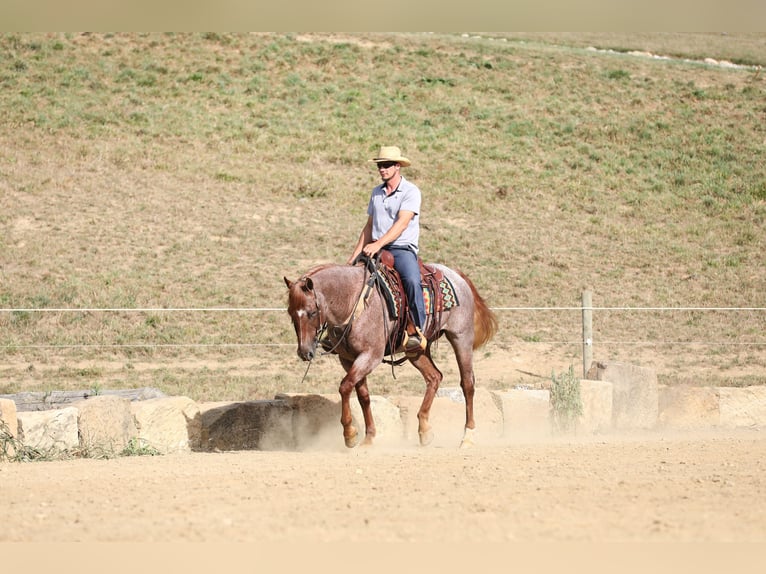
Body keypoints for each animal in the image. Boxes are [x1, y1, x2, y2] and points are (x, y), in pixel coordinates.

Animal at [284, 258, 500, 452]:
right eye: (290, 313)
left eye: (312, 312)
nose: (304, 352)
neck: (353, 301)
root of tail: (456, 274)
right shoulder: (348, 359)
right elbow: (362, 395)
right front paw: (369, 437)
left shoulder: (370, 356)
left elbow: (345, 387)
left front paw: (350, 434)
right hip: (417, 351)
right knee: (434, 377)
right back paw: (424, 430)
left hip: (461, 338)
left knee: (467, 384)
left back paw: (467, 438)